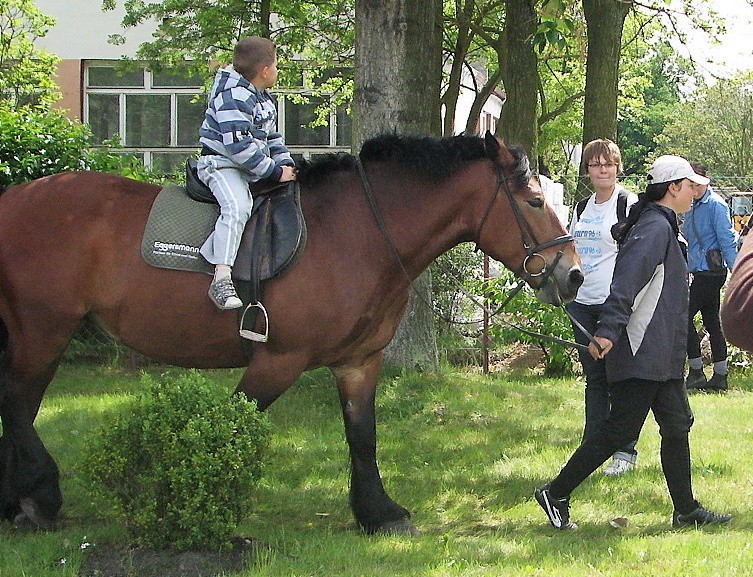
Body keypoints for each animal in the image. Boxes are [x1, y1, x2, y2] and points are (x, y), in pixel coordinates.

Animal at [0, 133, 580, 532]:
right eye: (534, 201)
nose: (572, 273)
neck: (357, 232)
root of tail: (13, 199)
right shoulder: (278, 360)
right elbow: (235, 422)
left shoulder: (358, 362)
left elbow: (362, 436)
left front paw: (377, 512)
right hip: (42, 330)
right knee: (15, 402)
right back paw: (40, 495)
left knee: (21, 404)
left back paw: (18, 500)